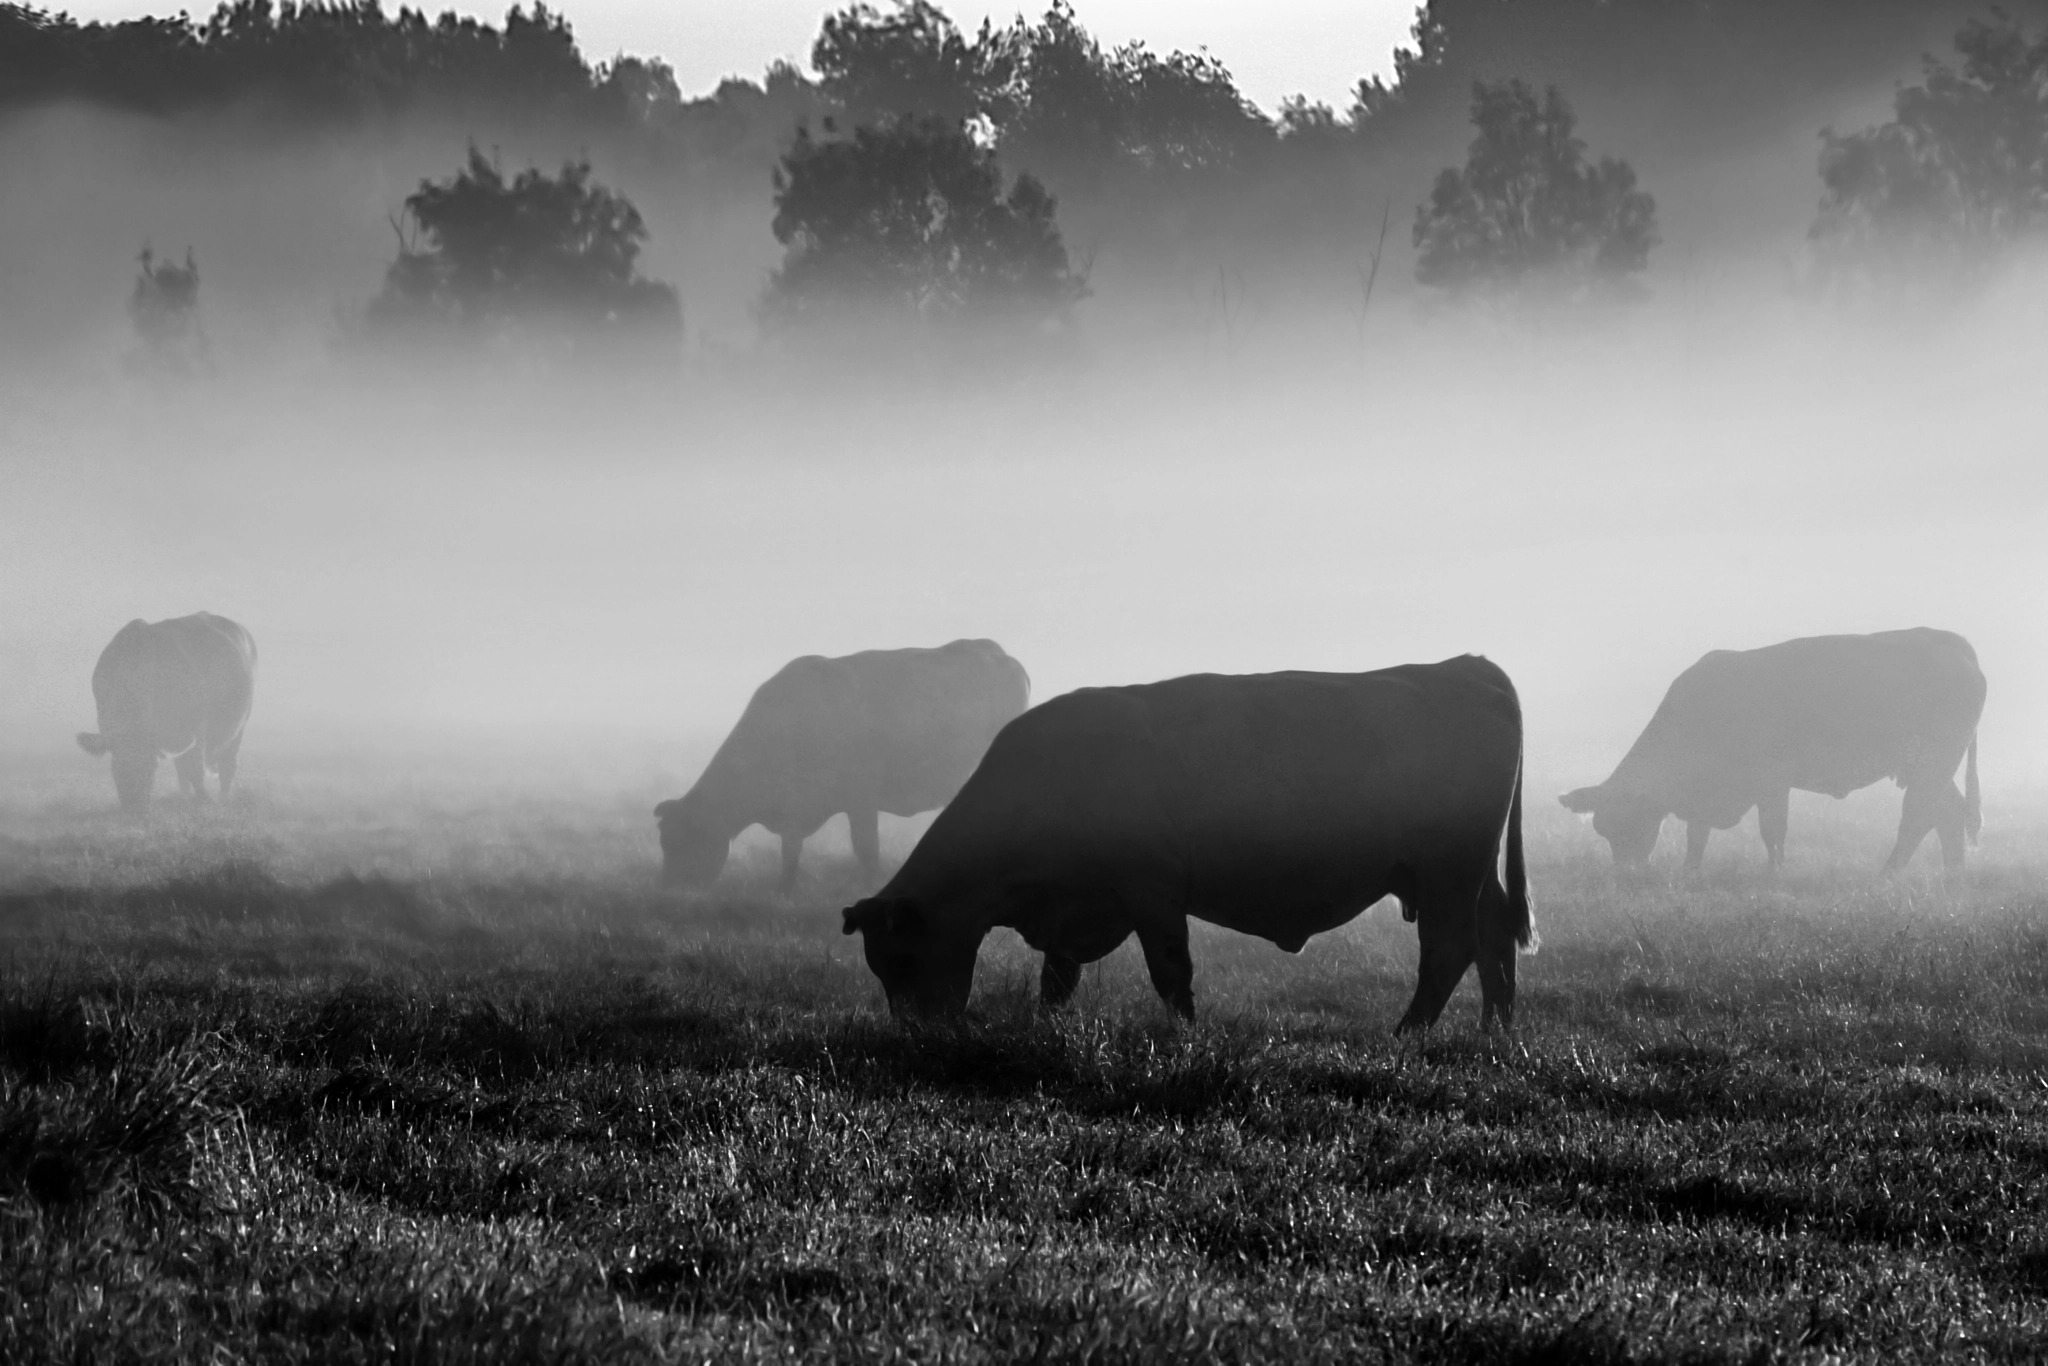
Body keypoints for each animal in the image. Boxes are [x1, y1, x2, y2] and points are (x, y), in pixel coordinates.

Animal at [75, 612, 258, 812]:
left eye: (152, 767)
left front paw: (203, 800)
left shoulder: (196, 726)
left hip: (239, 725)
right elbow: (185, 768)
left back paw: (221, 799)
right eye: (115, 768)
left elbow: (196, 768)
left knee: (228, 765)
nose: (135, 808)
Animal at [655, 639, 1030, 892]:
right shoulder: (795, 812)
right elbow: (790, 854)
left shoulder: (861, 798)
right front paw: (784, 889)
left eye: (680, 840)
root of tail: (996, 651)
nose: (671, 887)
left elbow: (866, 848)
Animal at [841, 655, 1534, 1032]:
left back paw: (1406, 1035)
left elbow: (1170, 972)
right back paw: (1493, 1034)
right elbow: (1056, 982)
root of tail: (1466, 665)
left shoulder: (1151, 890)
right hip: (1468, 875)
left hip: (1448, 871)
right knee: (1495, 933)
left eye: (903, 958)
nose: (917, 1032)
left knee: (1448, 949)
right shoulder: (1073, 908)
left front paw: (1185, 1036)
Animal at [1560, 628, 1985, 872]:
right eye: (1603, 830)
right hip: (1925, 769)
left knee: (1918, 816)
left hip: (1932, 763)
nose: (1626, 877)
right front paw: (1689, 871)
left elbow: (1773, 831)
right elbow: (1697, 835)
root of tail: (1947, 640)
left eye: (1630, 825)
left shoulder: (1772, 782)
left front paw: (1774, 874)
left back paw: (1888, 874)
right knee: (1948, 814)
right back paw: (1952, 879)